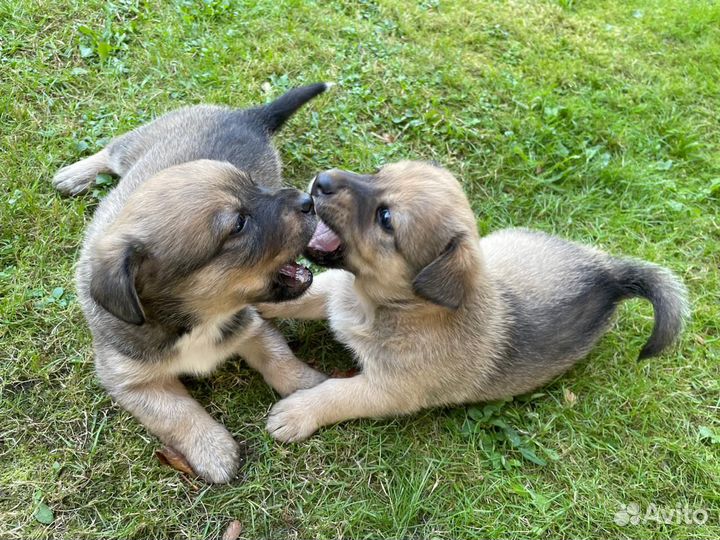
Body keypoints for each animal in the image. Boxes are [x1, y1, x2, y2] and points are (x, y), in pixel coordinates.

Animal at [53, 84, 332, 480]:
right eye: (238, 225)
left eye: (255, 186)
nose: (308, 199)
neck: (197, 321)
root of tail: (248, 116)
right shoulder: (130, 381)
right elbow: (177, 413)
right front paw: (213, 451)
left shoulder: (250, 326)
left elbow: (280, 358)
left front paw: (308, 388)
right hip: (135, 147)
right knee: (110, 149)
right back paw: (75, 174)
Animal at [258, 160, 688, 442]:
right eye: (378, 171)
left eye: (386, 218)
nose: (321, 181)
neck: (386, 305)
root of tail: (608, 275)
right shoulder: (336, 292)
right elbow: (310, 293)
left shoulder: (388, 390)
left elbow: (337, 393)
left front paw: (297, 412)